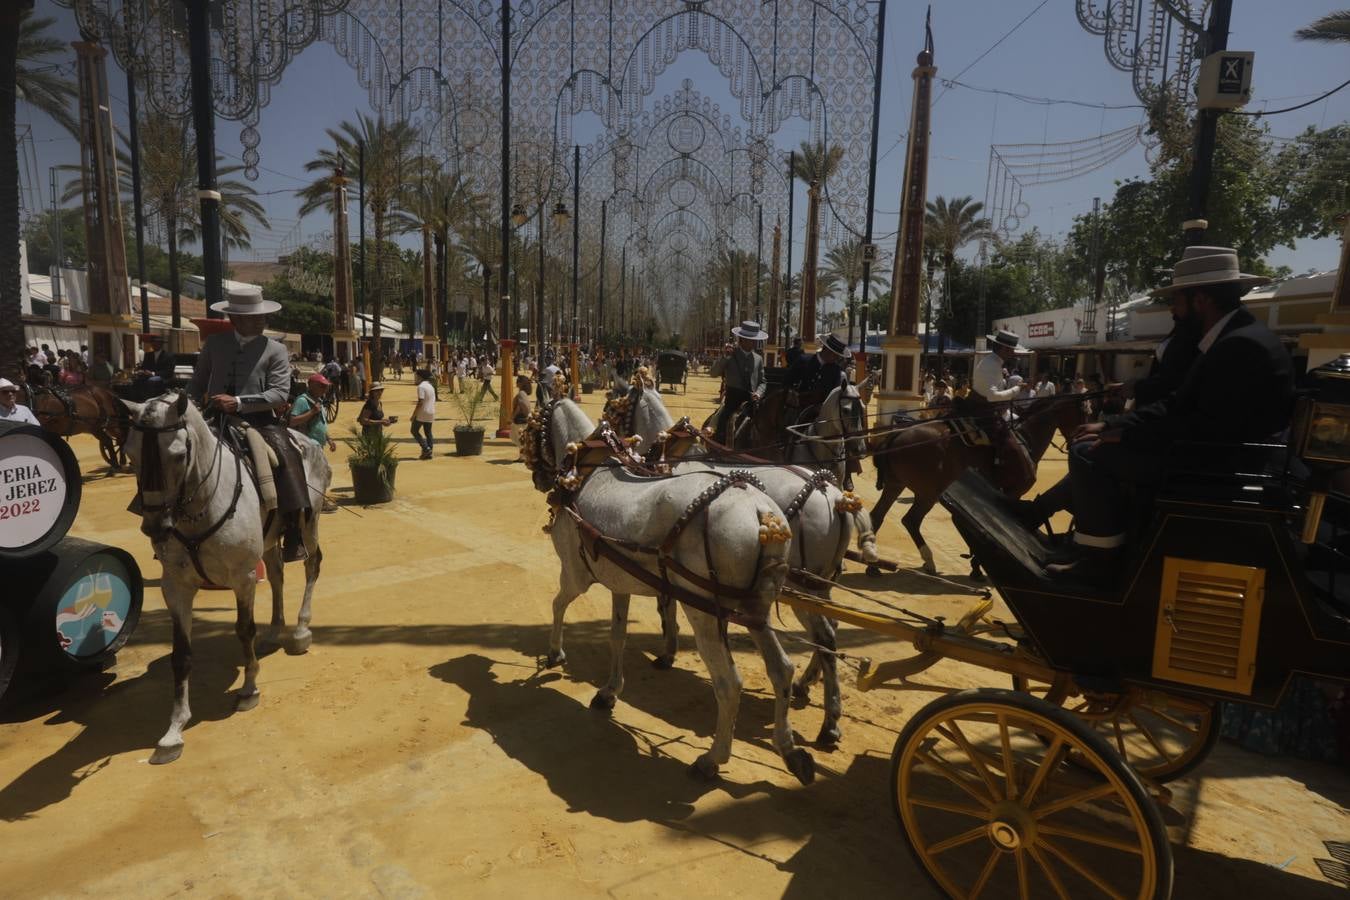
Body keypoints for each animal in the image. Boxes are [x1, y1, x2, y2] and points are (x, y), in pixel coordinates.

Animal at [122, 391, 332, 766]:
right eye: (130, 454)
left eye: (178, 455)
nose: (156, 526)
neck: (197, 508)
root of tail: (307, 441)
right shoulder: (175, 586)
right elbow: (181, 654)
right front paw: (174, 731)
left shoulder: (243, 576)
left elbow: (243, 630)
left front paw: (249, 689)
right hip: (268, 539)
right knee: (276, 574)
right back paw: (274, 631)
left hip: (309, 523)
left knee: (311, 567)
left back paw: (300, 631)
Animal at [523, 399, 810, 782]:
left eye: (530, 426)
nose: (539, 479)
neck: (586, 473)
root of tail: (760, 511)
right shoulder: (620, 582)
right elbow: (617, 637)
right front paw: (609, 692)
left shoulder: (575, 573)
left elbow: (558, 605)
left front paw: (555, 653)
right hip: (756, 610)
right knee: (782, 670)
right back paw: (790, 750)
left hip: (704, 612)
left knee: (728, 684)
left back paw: (712, 759)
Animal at [607, 388, 880, 744]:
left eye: (616, 406)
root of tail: (836, 497)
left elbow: (665, 603)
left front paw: (668, 651)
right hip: (819, 586)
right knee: (829, 633)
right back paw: (807, 687)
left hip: (803, 586)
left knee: (825, 635)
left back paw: (829, 719)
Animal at [864, 394, 1085, 577]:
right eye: (1085, 412)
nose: (1079, 437)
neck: (1026, 442)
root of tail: (897, 436)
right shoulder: (1014, 491)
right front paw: (977, 566)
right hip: (929, 492)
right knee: (911, 520)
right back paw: (928, 561)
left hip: (896, 485)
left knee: (877, 516)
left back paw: (873, 565)